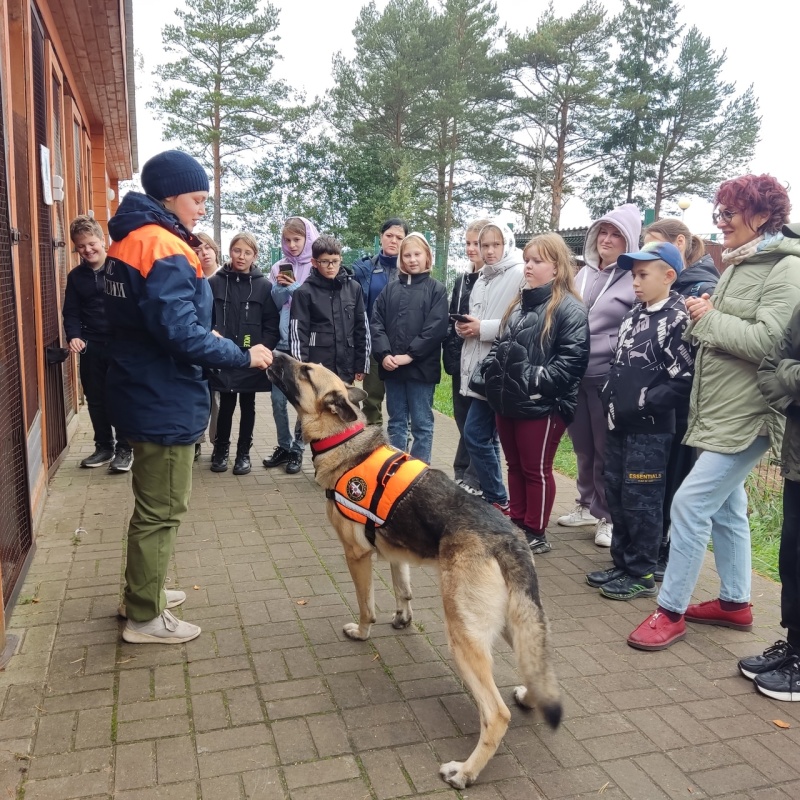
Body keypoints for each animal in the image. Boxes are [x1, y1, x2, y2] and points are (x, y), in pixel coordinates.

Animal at [268, 354, 564, 792]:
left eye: (305, 370)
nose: (273, 354)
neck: (343, 440)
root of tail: (509, 538)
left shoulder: (357, 555)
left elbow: (366, 605)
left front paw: (363, 631)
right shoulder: (395, 554)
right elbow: (402, 590)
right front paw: (403, 618)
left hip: (463, 635)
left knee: (496, 715)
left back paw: (465, 771)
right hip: (509, 623)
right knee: (537, 665)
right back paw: (529, 696)